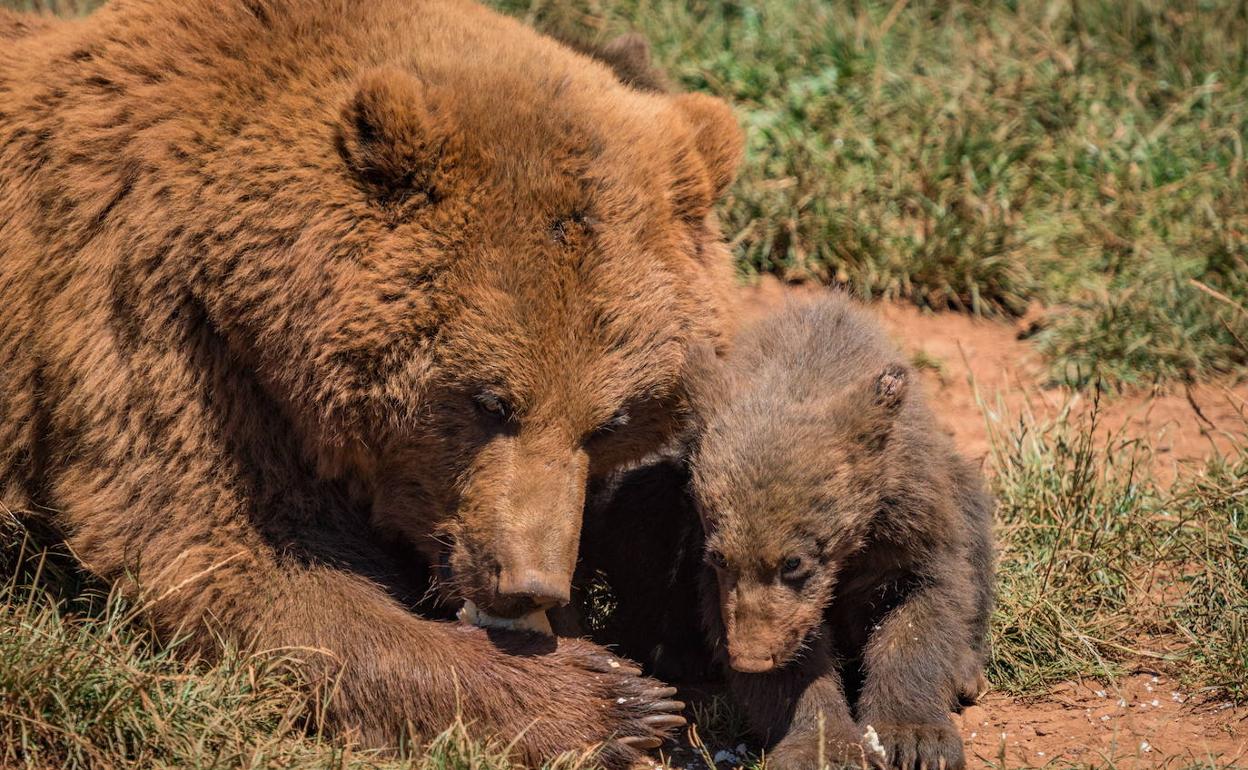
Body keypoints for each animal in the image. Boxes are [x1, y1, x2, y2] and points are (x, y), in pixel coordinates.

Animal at [0, 3, 738, 763]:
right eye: (490, 400)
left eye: (611, 422)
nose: (528, 584)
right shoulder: (161, 330)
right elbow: (226, 555)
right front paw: (613, 700)